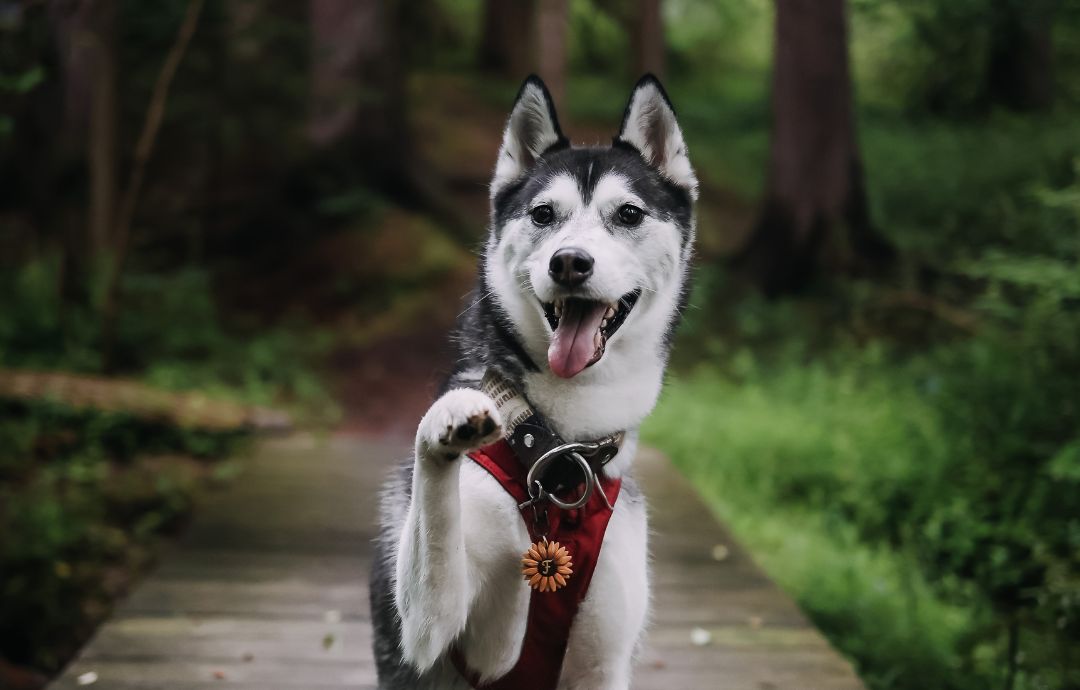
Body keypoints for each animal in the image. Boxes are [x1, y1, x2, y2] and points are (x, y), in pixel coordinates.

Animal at [367, 75, 695, 690]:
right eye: (543, 214)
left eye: (629, 213)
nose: (569, 261)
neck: (561, 453)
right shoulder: (430, 629)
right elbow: (437, 526)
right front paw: (449, 422)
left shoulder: (605, 665)